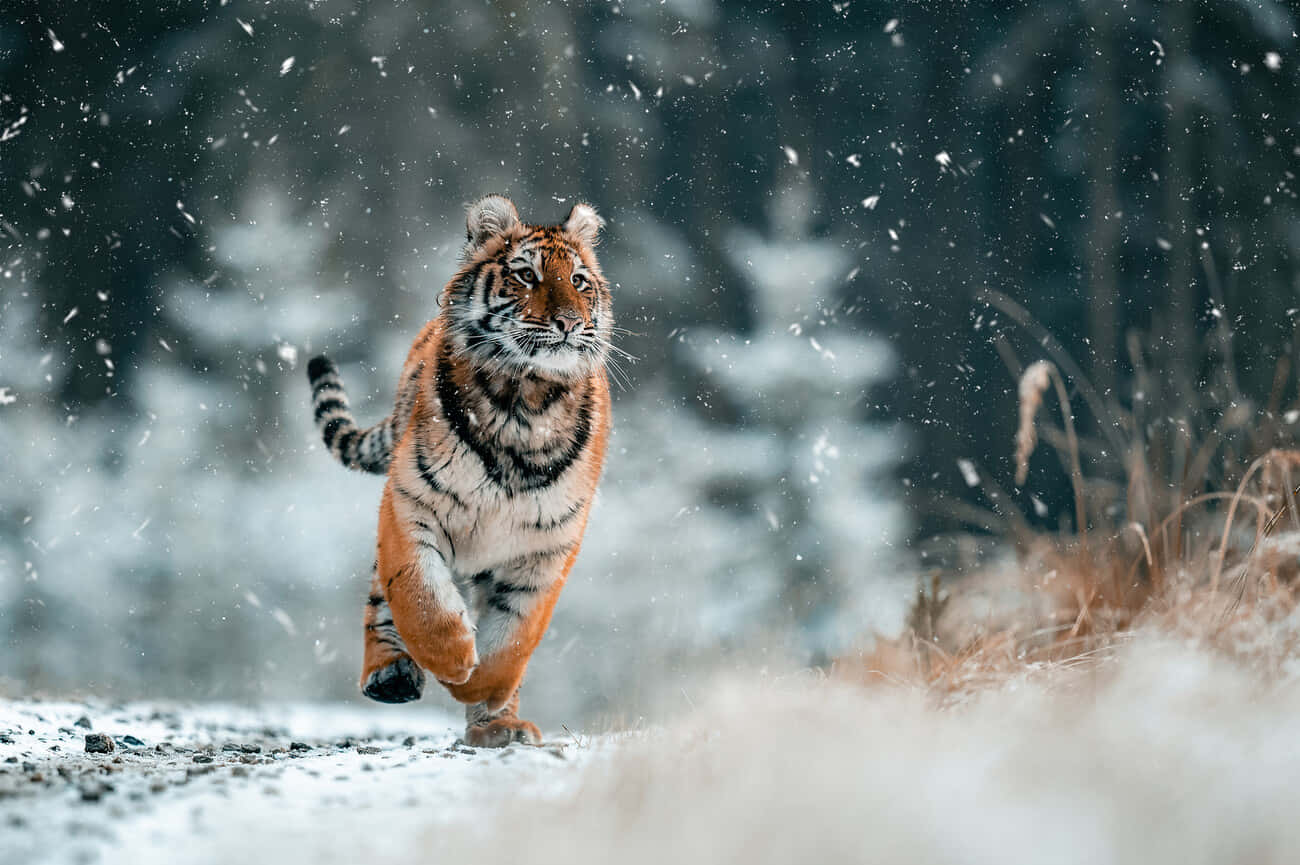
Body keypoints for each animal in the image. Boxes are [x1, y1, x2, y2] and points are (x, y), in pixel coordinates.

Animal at [305, 195, 612, 747]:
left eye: (578, 281)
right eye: (526, 274)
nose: (568, 323)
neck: (525, 401)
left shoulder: (547, 548)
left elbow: (515, 638)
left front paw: (481, 690)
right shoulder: (411, 503)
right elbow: (420, 596)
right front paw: (453, 661)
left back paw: (500, 728)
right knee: (381, 597)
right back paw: (389, 675)